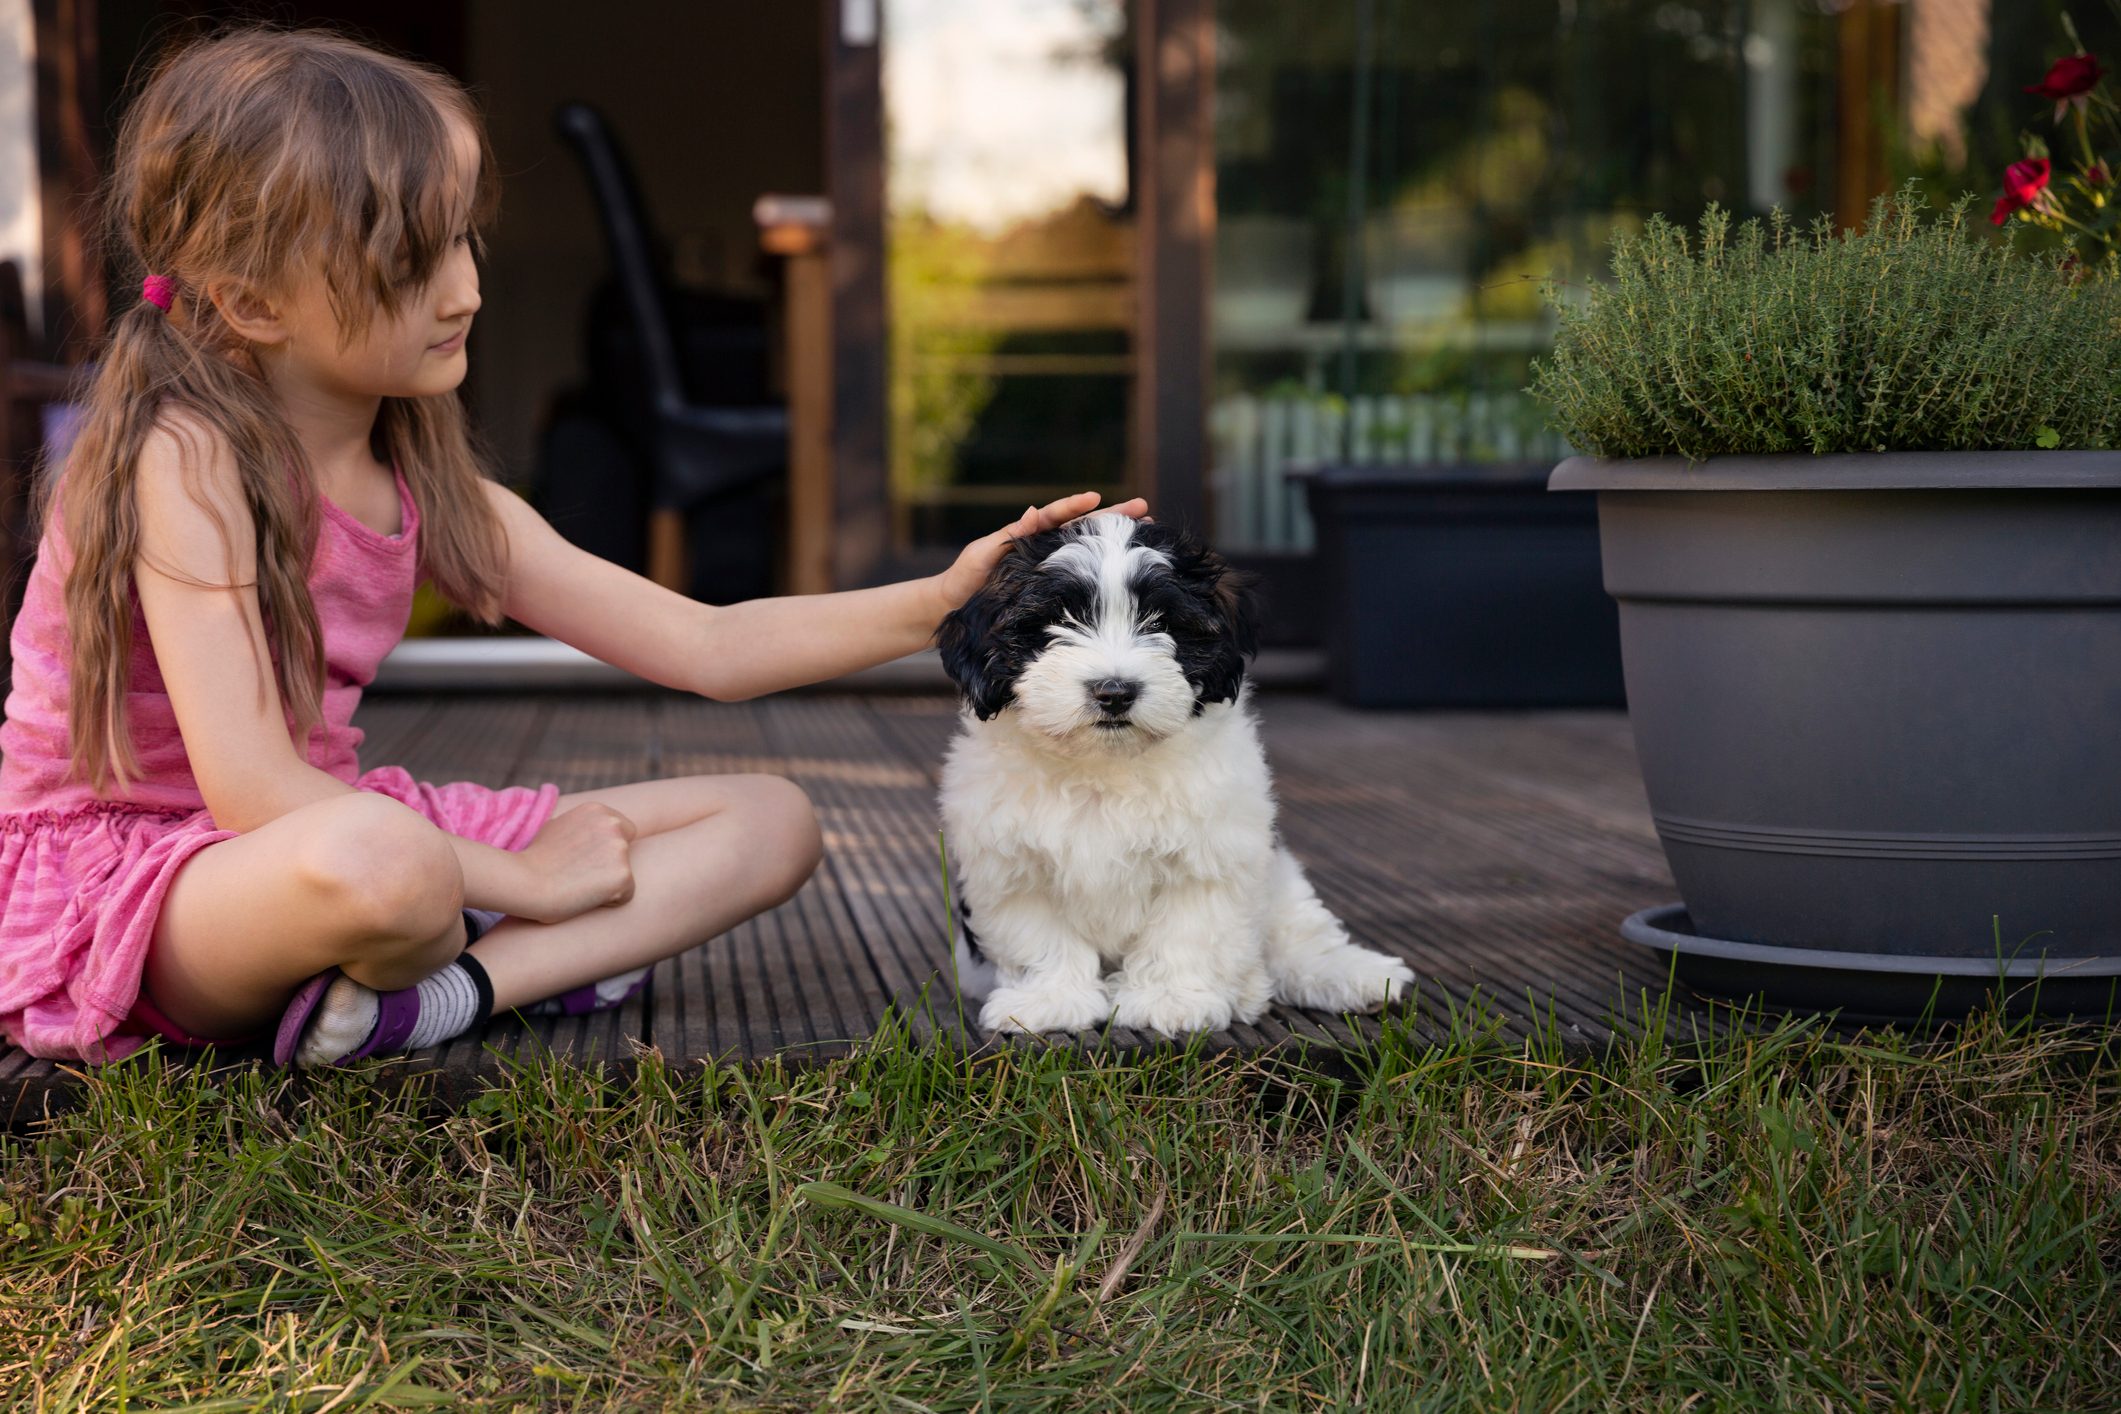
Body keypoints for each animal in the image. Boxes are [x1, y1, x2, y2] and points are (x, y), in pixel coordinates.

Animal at [941, 515, 1408, 1034]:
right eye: (1056, 621)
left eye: (1162, 623)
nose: (1114, 691)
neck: (1105, 765)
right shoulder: (1011, 865)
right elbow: (1039, 934)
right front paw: (1049, 1001)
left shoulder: (1209, 852)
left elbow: (1188, 929)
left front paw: (1169, 1000)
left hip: (1280, 878)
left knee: (1296, 934)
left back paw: (1350, 976)